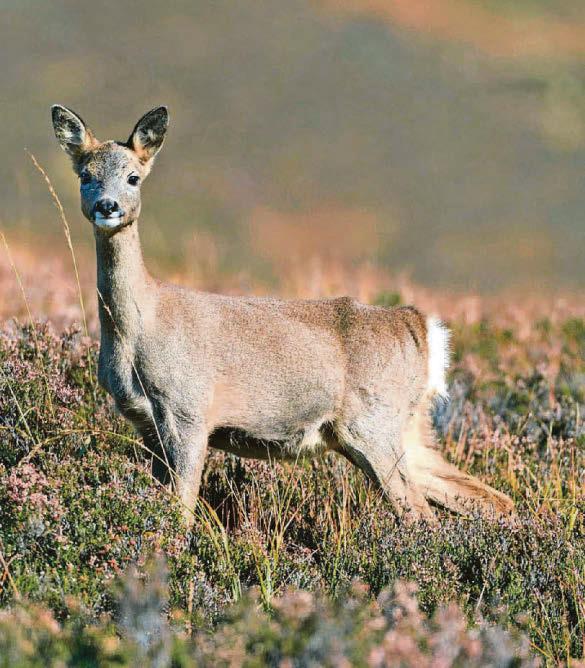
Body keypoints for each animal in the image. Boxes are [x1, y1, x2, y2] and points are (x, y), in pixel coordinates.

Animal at [51, 104, 514, 525]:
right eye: (85, 175)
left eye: (133, 177)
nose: (107, 205)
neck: (139, 329)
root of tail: (420, 327)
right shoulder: (145, 423)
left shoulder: (187, 410)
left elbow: (180, 509)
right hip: (408, 427)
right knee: (488, 498)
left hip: (372, 424)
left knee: (419, 512)